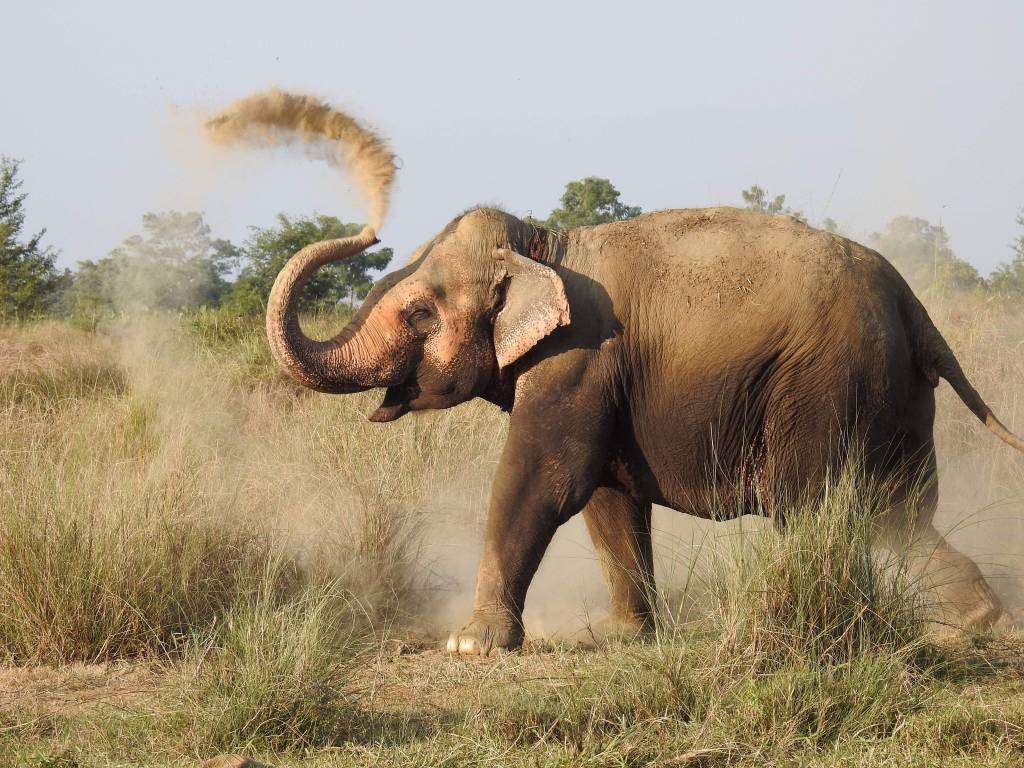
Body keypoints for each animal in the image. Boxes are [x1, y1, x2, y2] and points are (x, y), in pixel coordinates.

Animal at [266, 206, 1024, 654]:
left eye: (419, 313)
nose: (370, 229)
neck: (542, 244)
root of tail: (912, 300)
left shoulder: (579, 357)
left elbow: (546, 479)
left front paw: (470, 647)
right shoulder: (603, 379)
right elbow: (606, 494)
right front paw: (622, 634)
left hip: (830, 380)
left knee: (834, 507)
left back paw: (955, 627)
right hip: (897, 390)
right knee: (902, 507)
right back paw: (973, 621)